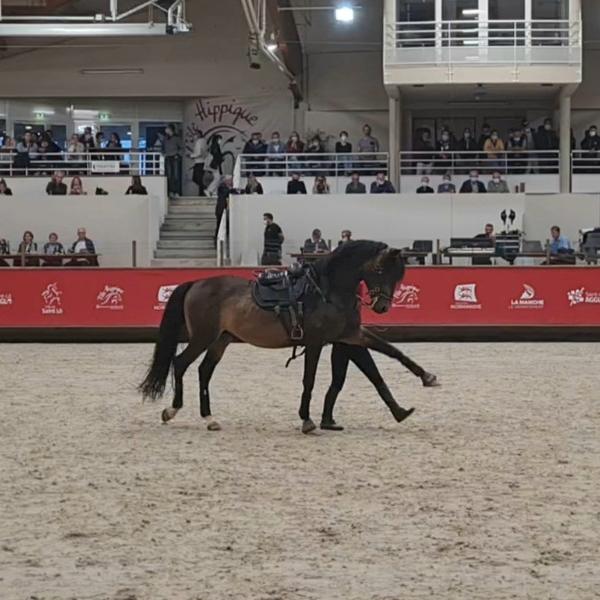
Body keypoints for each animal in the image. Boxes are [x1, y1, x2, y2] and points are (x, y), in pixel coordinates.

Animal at [141, 241, 440, 434]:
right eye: (380, 270)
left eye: (398, 275)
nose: (382, 307)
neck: (326, 291)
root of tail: (196, 283)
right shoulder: (316, 342)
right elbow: (309, 379)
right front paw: (307, 420)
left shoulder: (351, 335)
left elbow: (391, 351)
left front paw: (425, 380)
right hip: (204, 337)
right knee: (181, 363)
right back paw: (172, 410)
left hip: (221, 340)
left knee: (204, 371)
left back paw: (210, 419)